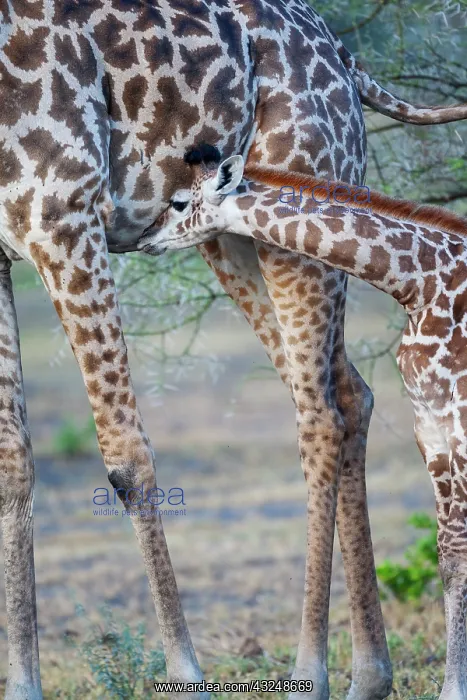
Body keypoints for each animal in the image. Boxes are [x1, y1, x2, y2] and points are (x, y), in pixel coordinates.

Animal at [139, 146, 467, 700]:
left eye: (181, 201)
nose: (145, 237)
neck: (421, 282)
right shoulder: (431, 426)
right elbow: (449, 556)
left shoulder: (459, 418)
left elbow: (458, 552)